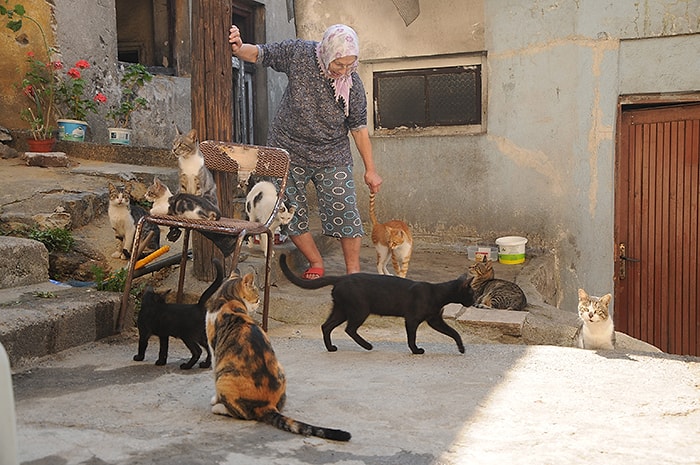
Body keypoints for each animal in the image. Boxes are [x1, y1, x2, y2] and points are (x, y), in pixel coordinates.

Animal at [206, 264, 350, 438]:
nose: (259, 303)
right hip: (281, 368)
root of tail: (267, 405)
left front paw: (215, 400)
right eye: (256, 297)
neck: (227, 298)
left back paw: (219, 408)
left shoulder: (214, 349)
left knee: (241, 413)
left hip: (224, 377)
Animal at [278, 252, 476, 354]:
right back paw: (367, 346)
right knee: (349, 329)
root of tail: (341, 278)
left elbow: (453, 332)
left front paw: (461, 347)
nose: (475, 301)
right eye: (472, 293)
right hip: (359, 310)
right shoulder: (412, 319)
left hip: (341, 309)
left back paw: (331, 348)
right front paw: (416, 350)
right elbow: (412, 337)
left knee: (326, 326)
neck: (438, 293)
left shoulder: (435, 320)